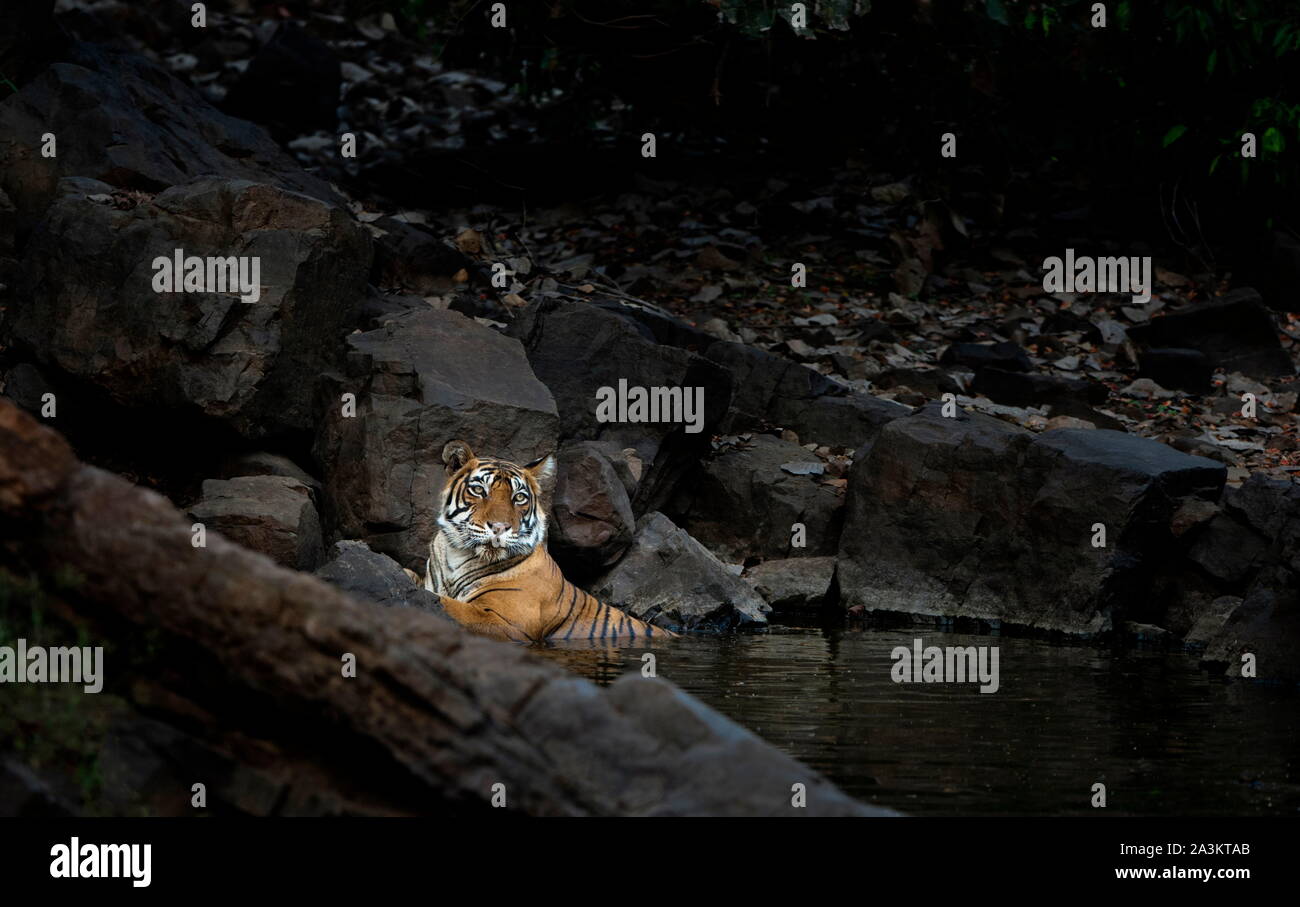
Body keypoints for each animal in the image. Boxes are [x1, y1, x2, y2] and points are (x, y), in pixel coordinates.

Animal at [421, 439, 676, 641]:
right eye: (478, 490)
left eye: (519, 497)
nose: (500, 527)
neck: (458, 555)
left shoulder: (505, 622)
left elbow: (447, 606)